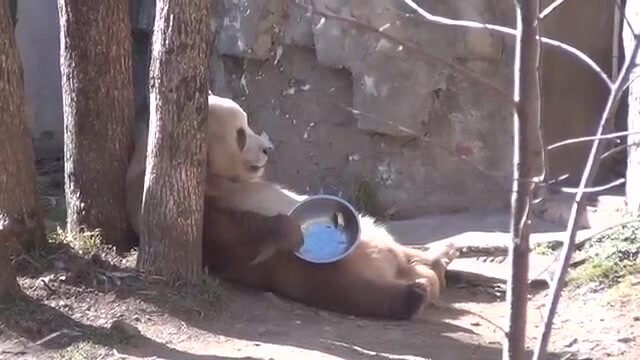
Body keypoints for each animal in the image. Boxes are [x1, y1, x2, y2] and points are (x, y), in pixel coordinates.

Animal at [127, 93, 460, 320]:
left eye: (248, 124)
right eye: (240, 134)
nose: (267, 149)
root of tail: (400, 270)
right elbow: (227, 236)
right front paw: (287, 230)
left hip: (374, 237)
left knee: (398, 246)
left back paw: (440, 255)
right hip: (326, 269)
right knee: (349, 288)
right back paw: (417, 291)